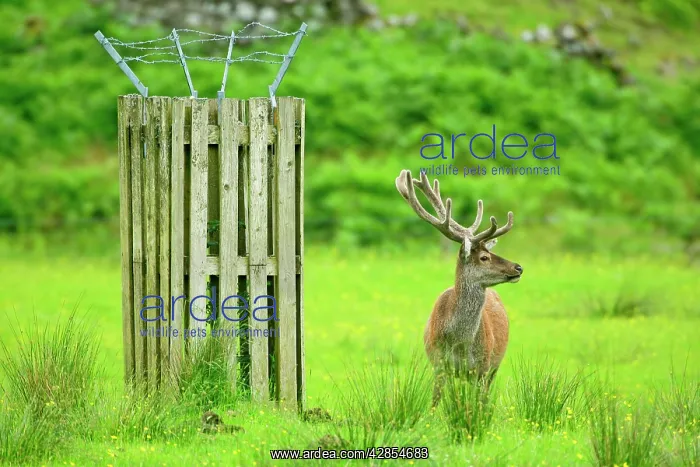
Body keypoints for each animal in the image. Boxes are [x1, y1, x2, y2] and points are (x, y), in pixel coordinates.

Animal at [395, 169, 523, 406]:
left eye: (489, 252)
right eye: (484, 257)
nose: (518, 267)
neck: (460, 344)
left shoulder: (482, 367)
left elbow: (477, 405)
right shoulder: (438, 364)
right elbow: (435, 403)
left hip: (494, 366)